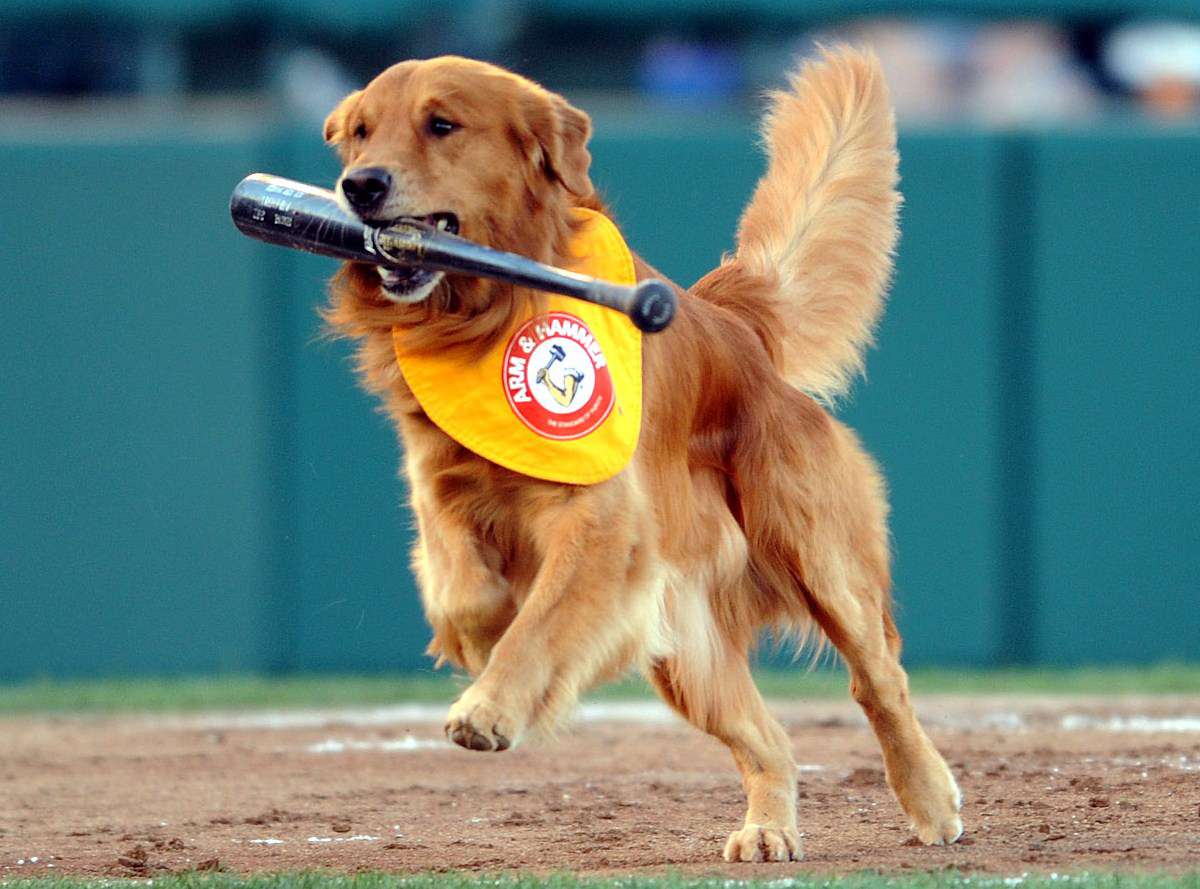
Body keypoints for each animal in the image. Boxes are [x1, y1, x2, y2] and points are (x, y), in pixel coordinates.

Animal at [321, 46, 964, 859]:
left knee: (879, 681)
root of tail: (738, 325)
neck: (486, 313)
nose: (359, 186)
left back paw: (930, 799)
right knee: (767, 737)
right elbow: (467, 595)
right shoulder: (438, 487)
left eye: (442, 124)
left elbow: (541, 621)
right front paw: (483, 639)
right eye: (360, 134)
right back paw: (768, 830)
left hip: (817, 554)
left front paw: (492, 705)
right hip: (686, 649)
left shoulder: (603, 519)